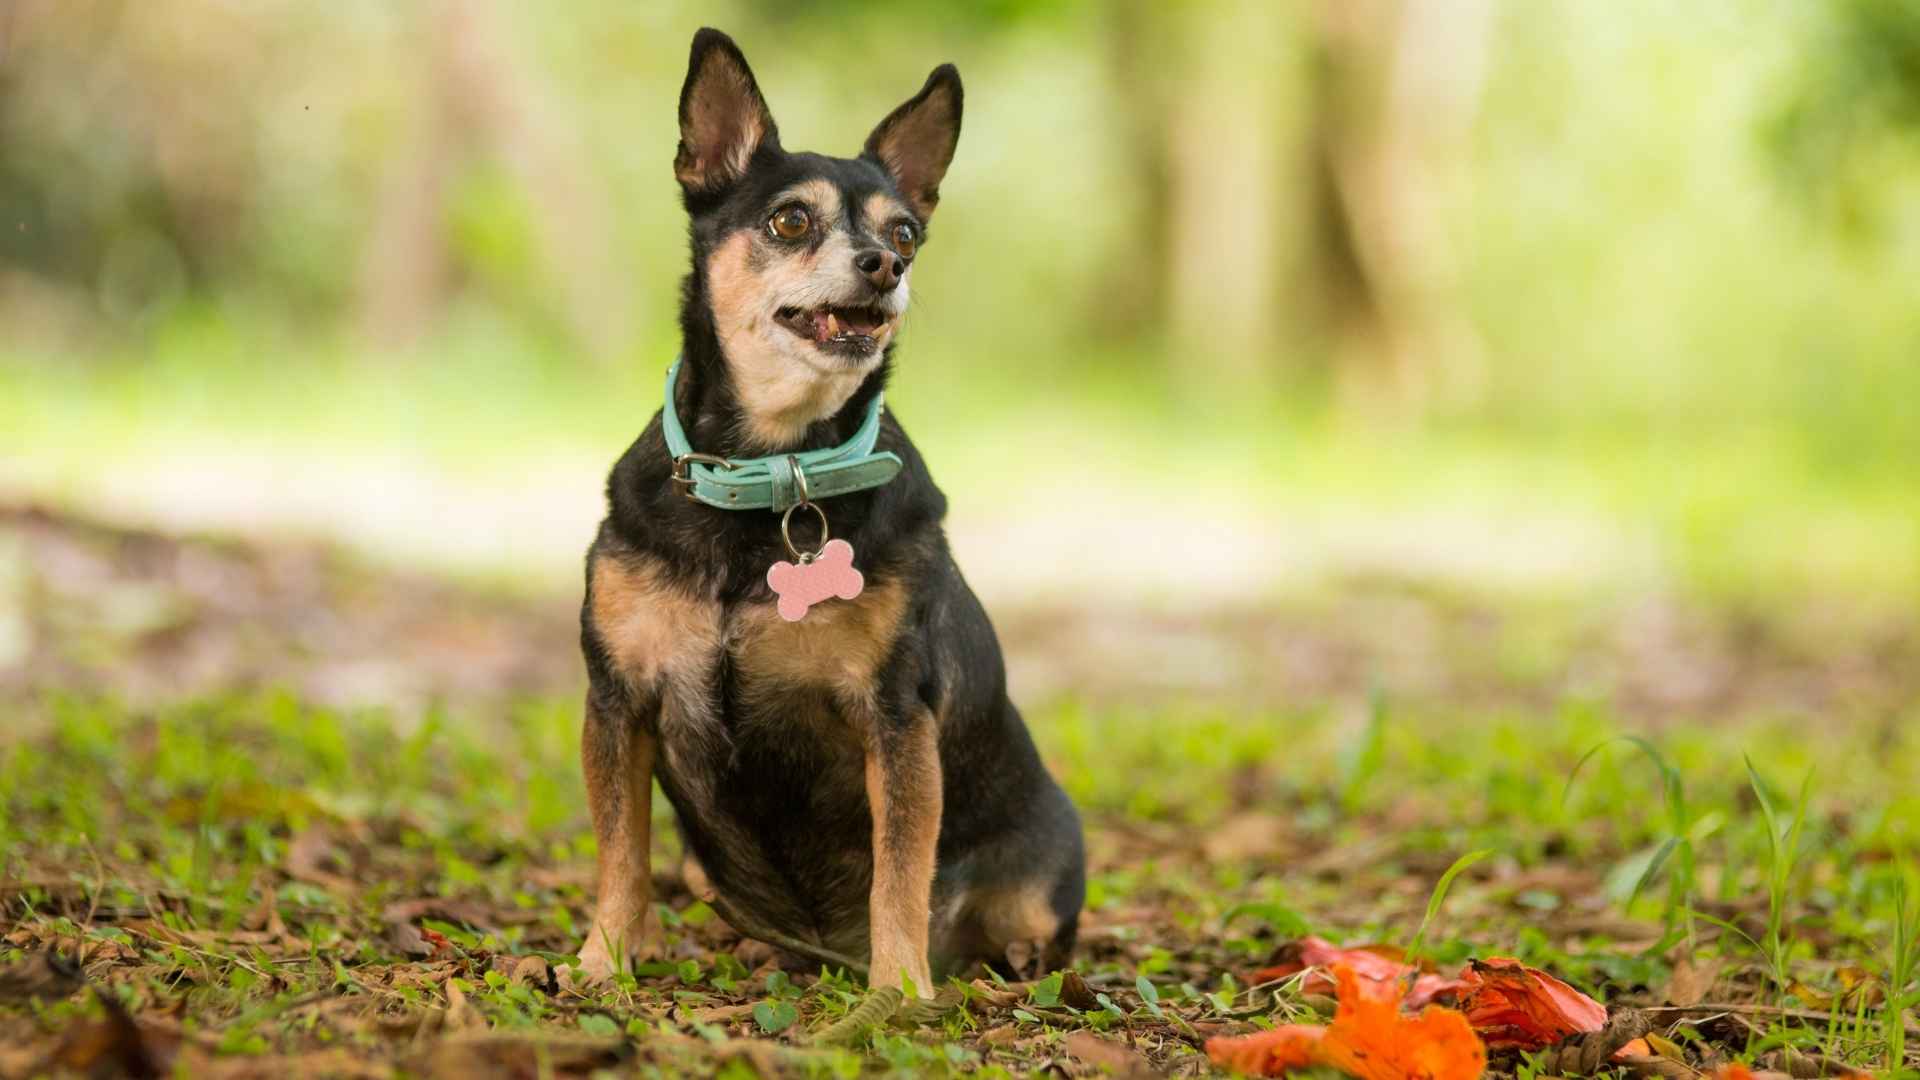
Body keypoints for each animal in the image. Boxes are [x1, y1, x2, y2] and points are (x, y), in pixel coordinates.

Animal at [564, 27, 1082, 991]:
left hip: (1046, 861)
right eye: (790, 221)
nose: (887, 266)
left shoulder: (895, 719)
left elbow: (901, 874)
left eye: (906, 231)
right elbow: (620, 851)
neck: (775, 472)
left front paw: (900, 989)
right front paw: (604, 958)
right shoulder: (618, 700)